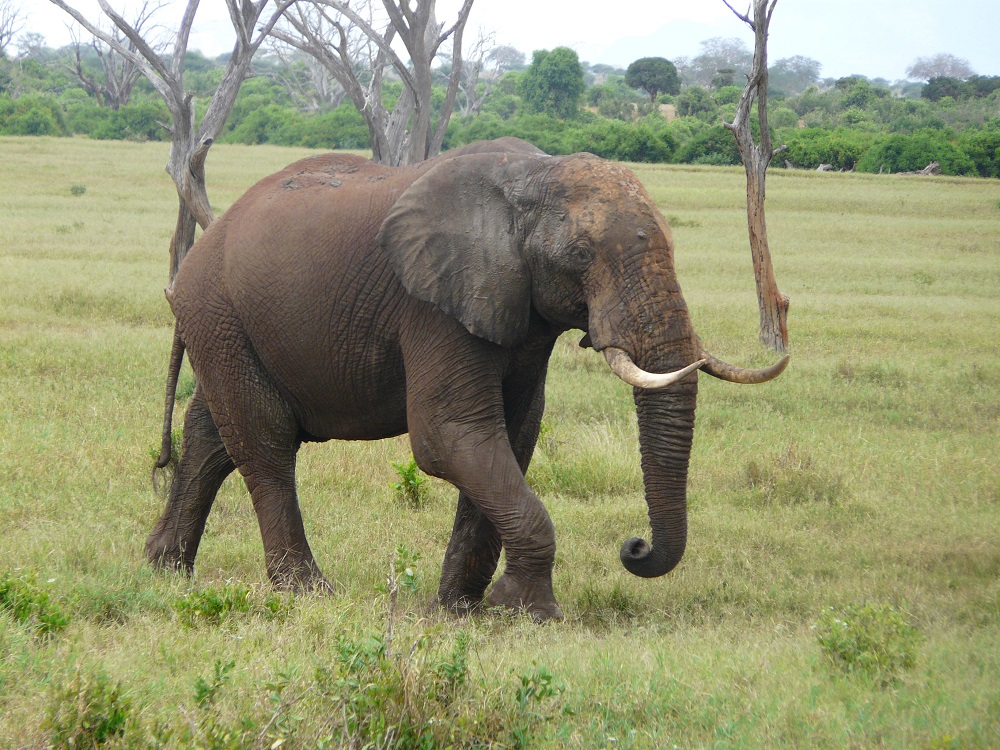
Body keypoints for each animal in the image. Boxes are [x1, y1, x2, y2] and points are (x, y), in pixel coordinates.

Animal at [148, 137, 788, 624]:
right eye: (581, 256)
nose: (635, 547)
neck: (532, 176)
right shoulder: (433, 306)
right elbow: (449, 437)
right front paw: (529, 612)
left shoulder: (519, 312)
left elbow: (512, 436)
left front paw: (461, 610)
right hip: (220, 313)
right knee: (266, 444)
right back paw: (306, 593)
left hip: (226, 325)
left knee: (211, 439)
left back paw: (164, 568)